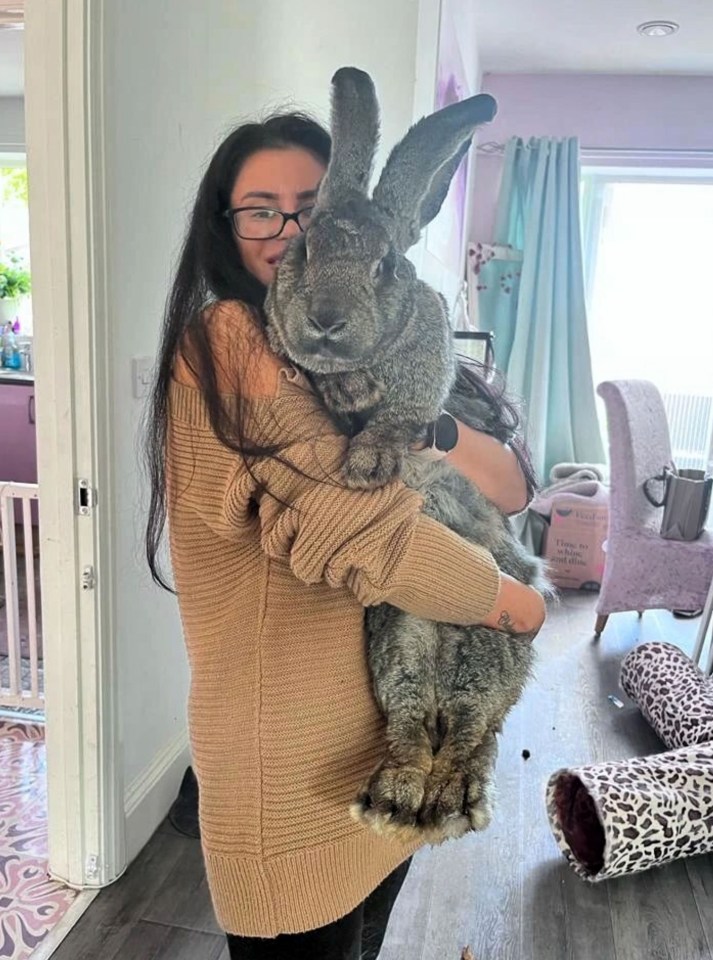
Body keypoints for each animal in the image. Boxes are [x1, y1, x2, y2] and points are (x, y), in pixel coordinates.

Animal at [264, 67, 548, 844]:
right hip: (399, 635)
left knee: (473, 729)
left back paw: (449, 794)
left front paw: (371, 458)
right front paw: (345, 387)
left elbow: (406, 412)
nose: (325, 320)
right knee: (413, 720)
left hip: (491, 637)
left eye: (385, 265)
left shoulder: (427, 364)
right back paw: (395, 795)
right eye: (301, 251)